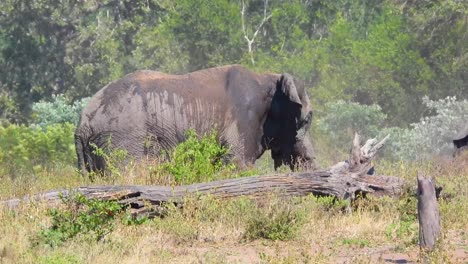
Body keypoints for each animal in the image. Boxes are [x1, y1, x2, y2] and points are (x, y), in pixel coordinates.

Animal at [75, 65, 314, 174]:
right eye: (307, 120)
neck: (268, 77)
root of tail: (83, 123)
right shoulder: (244, 117)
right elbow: (238, 164)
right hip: (121, 140)